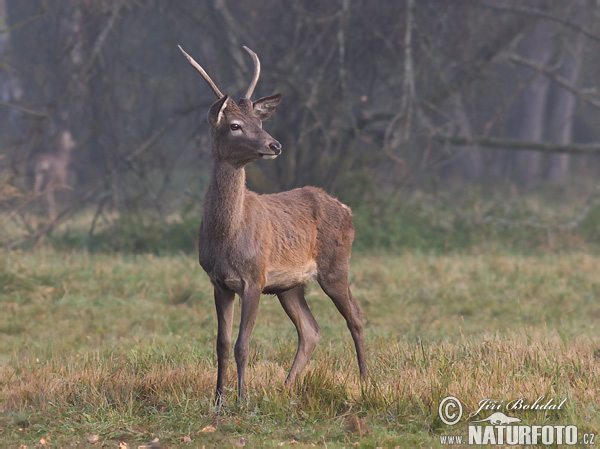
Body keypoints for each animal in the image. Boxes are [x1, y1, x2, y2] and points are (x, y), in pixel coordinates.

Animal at [178, 44, 366, 402]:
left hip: (336, 265)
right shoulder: (218, 282)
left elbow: (243, 344)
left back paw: (366, 382)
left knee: (356, 316)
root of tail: (347, 209)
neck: (227, 236)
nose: (274, 144)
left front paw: (242, 399)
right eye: (235, 125)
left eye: (259, 121)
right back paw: (285, 388)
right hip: (289, 285)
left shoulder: (254, 276)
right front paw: (218, 400)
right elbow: (222, 344)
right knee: (311, 329)